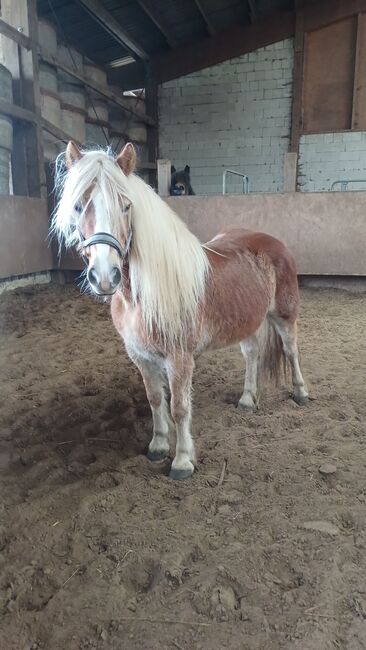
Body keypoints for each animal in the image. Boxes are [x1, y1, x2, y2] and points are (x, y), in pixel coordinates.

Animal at [52, 142, 308, 478]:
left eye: (126, 206)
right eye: (79, 206)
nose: (105, 277)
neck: (142, 296)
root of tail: (273, 241)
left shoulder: (179, 358)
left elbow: (179, 407)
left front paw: (183, 461)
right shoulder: (141, 356)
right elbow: (155, 400)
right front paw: (158, 447)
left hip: (284, 316)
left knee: (291, 351)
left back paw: (301, 394)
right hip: (248, 322)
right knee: (252, 355)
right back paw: (247, 400)